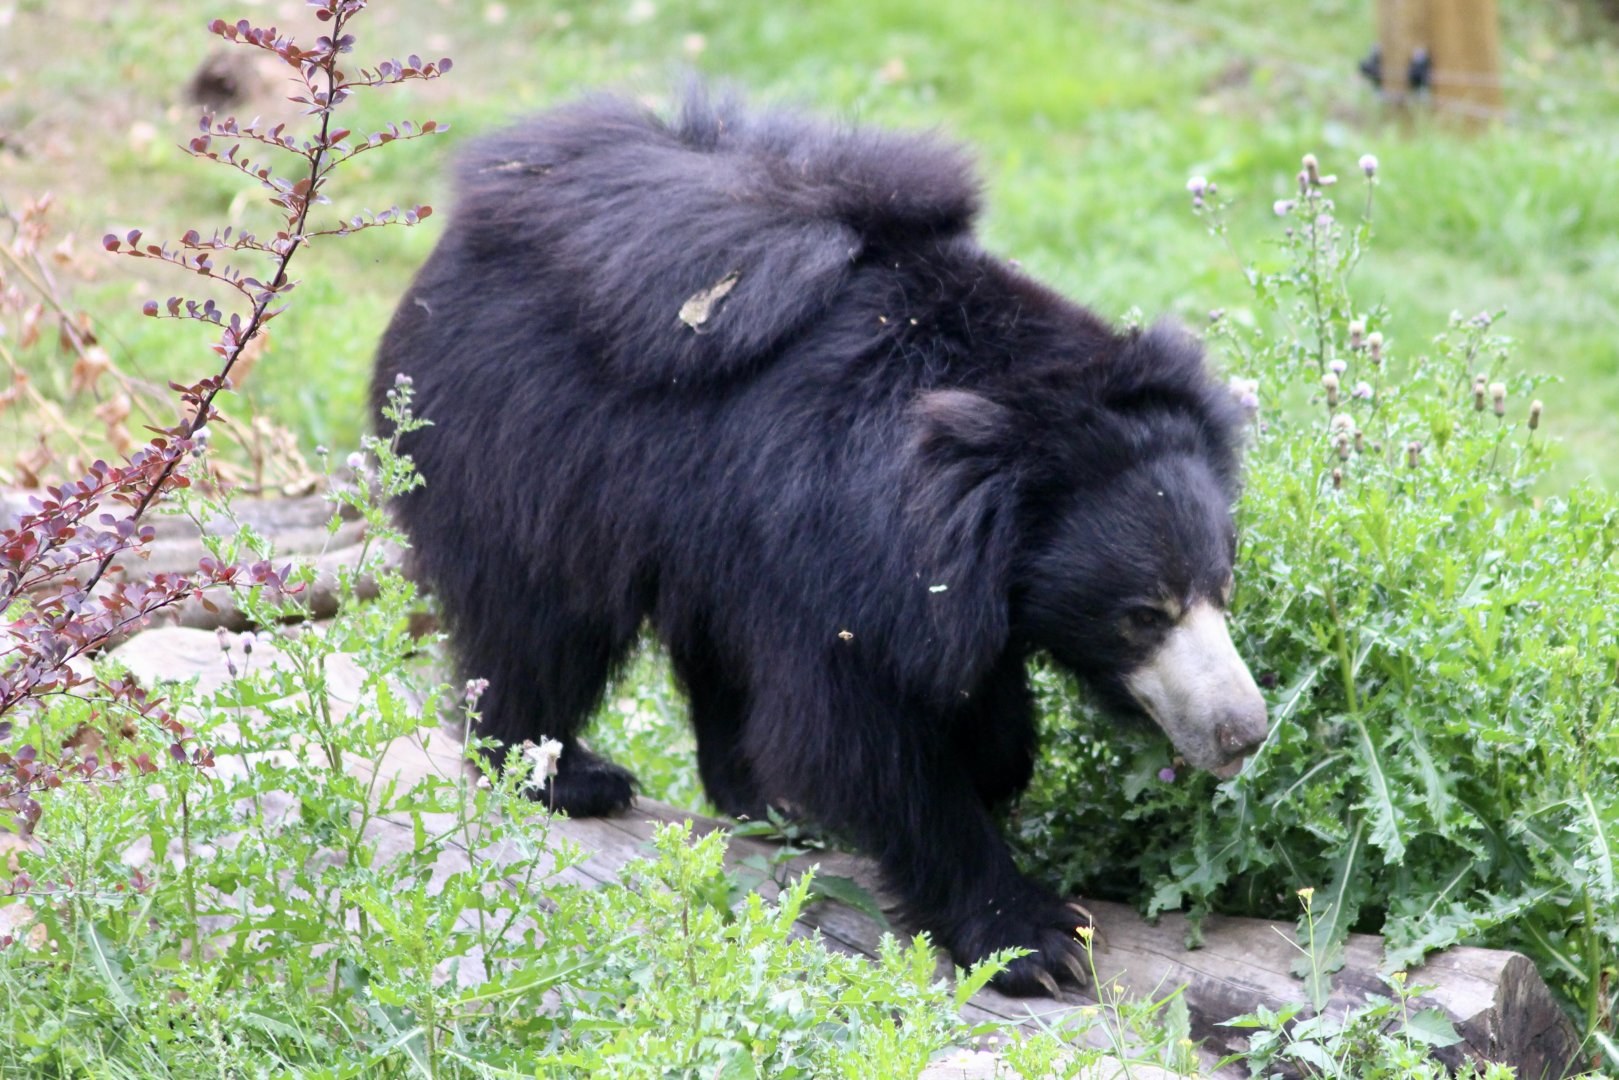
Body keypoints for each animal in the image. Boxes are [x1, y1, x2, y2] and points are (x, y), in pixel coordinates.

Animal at [372, 89, 1269, 996]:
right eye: (1141, 615)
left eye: (1220, 590)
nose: (1244, 733)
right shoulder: (832, 543)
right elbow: (855, 739)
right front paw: (1034, 939)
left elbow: (966, 692)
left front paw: (992, 762)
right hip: (529, 451)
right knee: (540, 617)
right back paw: (564, 774)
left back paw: (763, 804)